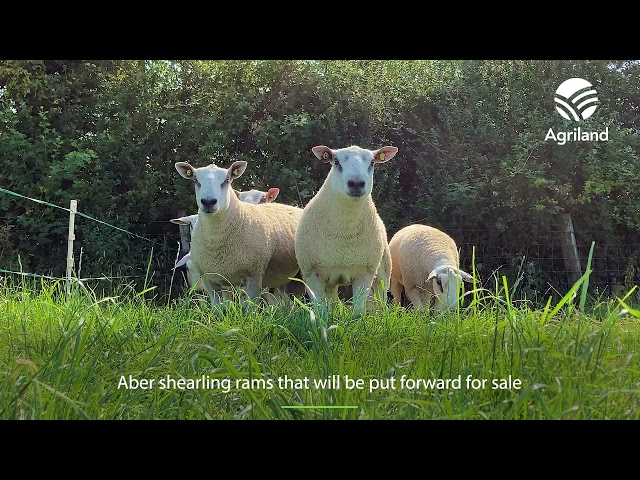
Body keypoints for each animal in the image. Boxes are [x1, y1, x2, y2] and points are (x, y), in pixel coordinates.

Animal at [174, 159, 304, 306]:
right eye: (195, 180)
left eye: (227, 180)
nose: (208, 201)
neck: (216, 243)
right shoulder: (210, 280)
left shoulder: (253, 276)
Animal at [294, 144, 398, 316]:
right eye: (336, 161)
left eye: (372, 163)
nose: (356, 183)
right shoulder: (311, 274)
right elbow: (320, 311)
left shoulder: (365, 273)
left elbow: (358, 312)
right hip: (330, 280)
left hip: (383, 269)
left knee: (381, 296)